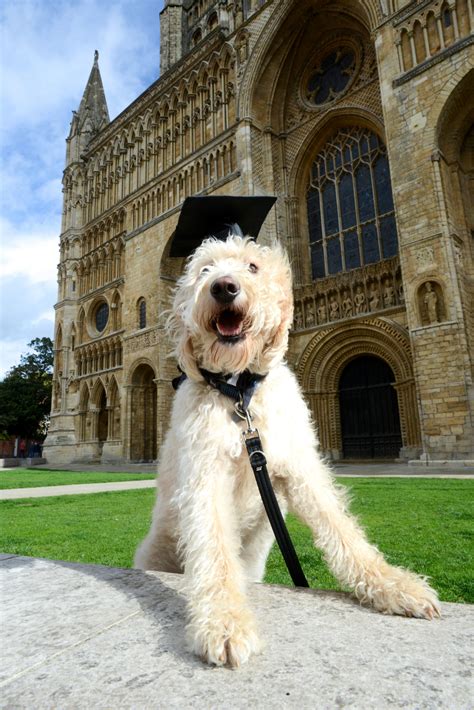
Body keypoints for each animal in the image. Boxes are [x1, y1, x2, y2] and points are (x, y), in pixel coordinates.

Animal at [134, 236, 440, 672]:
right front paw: (224, 623)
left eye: (252, 266)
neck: (240, 395)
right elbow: (215, 554)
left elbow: (343, 531)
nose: (224, 287)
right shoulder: (205, 478)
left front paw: (394, 585)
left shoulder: (300, 468)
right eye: (205, 269)